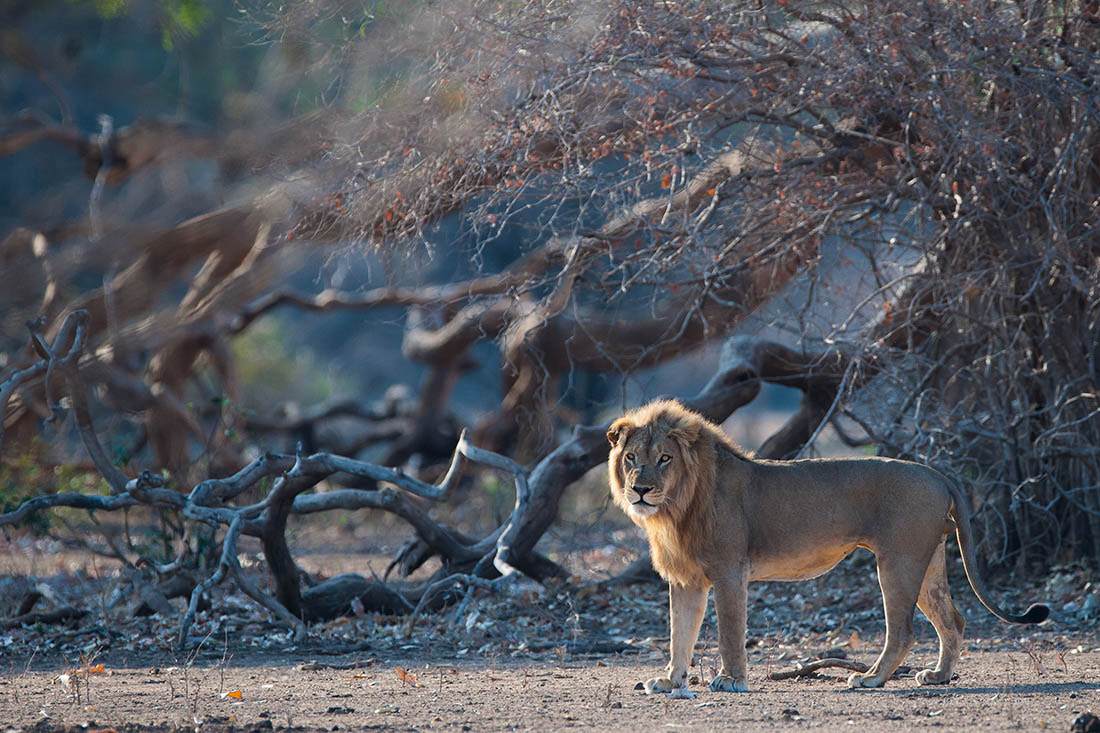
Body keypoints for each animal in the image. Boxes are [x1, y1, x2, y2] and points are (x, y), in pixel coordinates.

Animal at [611, 400, 1047, 691]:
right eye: (630, 457)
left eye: (664, 458)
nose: (640, 490)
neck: (675, 509)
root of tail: (937, 473)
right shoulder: (685, 580)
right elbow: (679, 634)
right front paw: (670, 681)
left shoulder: (729, 570)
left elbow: (728, 632)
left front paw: (731, 680)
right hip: (929, 563)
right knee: (952, 620)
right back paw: (938, 676)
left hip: (898, 561)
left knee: (903, 630)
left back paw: (871, 679)